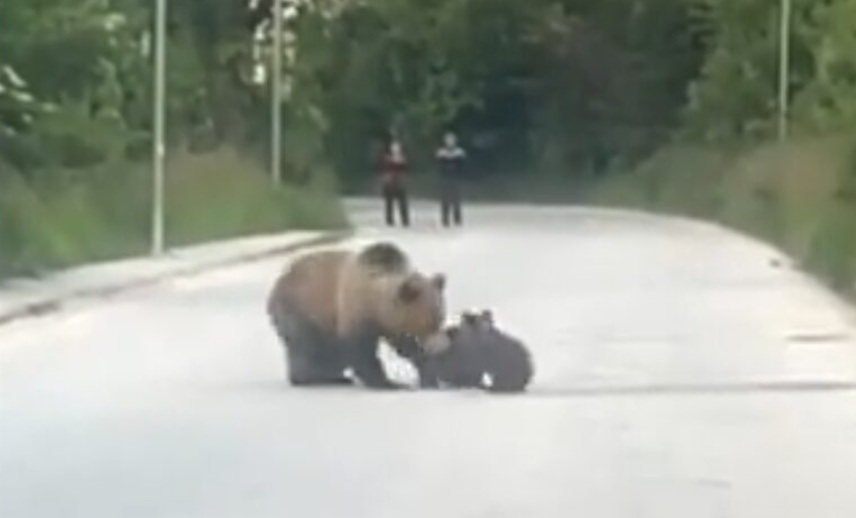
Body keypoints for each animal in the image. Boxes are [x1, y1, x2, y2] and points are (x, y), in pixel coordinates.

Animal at [268, 242, 448, 392]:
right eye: (429, 322)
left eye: (441, 318)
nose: (441, 347)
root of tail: (274, 289)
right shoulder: (356, 313)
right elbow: (362, 352)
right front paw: (391, 383)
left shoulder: (393, 324)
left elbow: (407, 348)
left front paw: (429, 377)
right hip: (303, 310)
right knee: (308, 347)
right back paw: (315, 377)